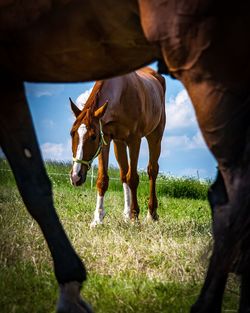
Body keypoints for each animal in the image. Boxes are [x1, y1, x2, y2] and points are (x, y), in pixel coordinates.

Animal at [69, 67, 166, 225]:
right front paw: (98, 218)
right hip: (119, 143)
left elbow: (133, 178)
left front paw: (135, 215)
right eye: (72, 133)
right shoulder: (106, 138)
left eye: (93, 136)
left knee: (152, 171)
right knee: (123, 173)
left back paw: (151, 214)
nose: (76, 177)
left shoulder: (134, 140)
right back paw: (126, 214)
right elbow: (103, 179)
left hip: (155, 136)